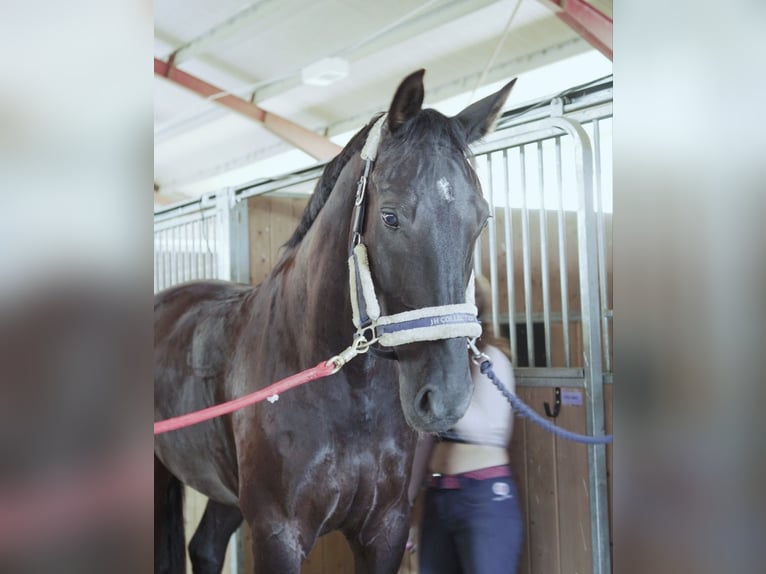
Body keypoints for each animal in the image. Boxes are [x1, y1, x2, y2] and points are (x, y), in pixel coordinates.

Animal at [154, 72, 516, 574]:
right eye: (390, 217)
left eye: (481, 220)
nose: (445, 397)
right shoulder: (277, 534)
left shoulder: (384, 530)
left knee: (205, 546)